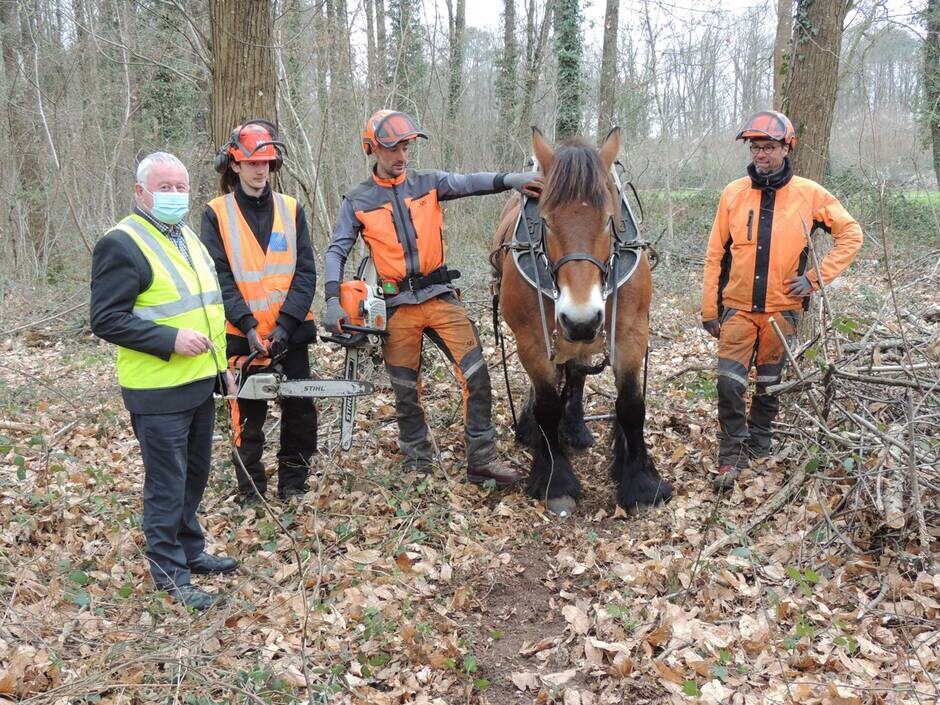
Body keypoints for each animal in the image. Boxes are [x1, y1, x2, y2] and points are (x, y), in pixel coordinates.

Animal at [496, 126, 672, 516]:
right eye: (545, 221)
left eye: (609, 219)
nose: (581, 319)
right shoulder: (533, 341)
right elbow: (547, 407)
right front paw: (555, 481)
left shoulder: (630, 334)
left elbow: (631, 407)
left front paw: (641, 482)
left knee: (576, 373)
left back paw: (575, 426)